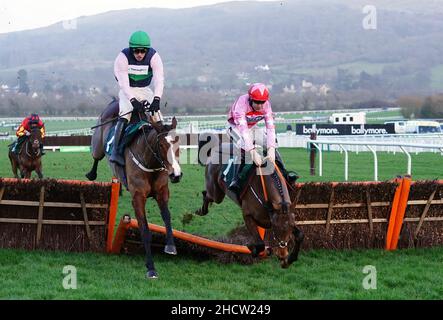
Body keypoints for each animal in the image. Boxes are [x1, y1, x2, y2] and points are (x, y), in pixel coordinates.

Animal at [86, 104, 183, 278]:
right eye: (161, 145)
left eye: (177, 144)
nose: (176, 174)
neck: (150, 162)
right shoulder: (138, 197)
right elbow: (145, 230)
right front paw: (151, 267)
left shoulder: (162, 192)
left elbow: (167, 217)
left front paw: (171, 246)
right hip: (97, 144)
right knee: (96, 156)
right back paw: (91, 174)